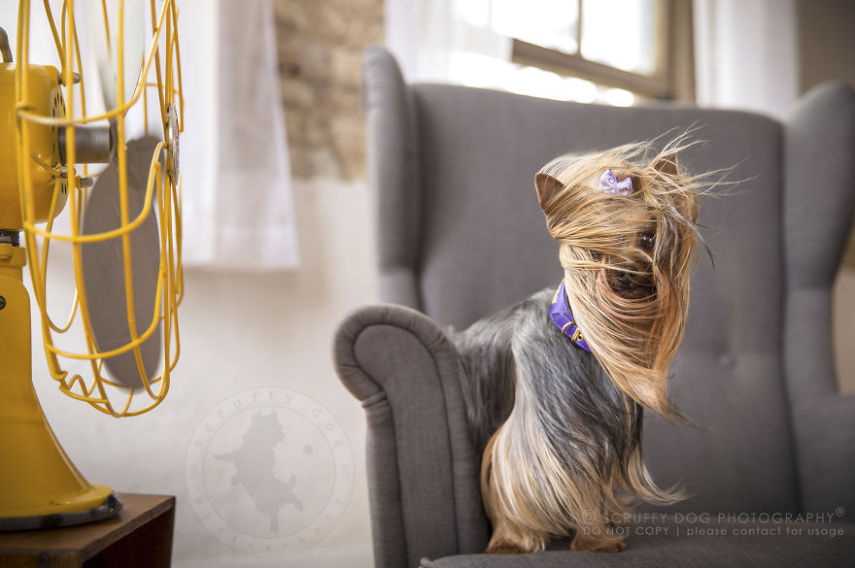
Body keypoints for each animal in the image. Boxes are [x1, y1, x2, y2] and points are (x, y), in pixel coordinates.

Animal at [452, 139, 700, 556]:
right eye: (594, 243)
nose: (626, 272)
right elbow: (520, 467)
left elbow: (587, 485)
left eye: (648, 238)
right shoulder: (546, 426)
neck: (579, 337)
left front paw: (596, 536)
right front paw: (512, 542)